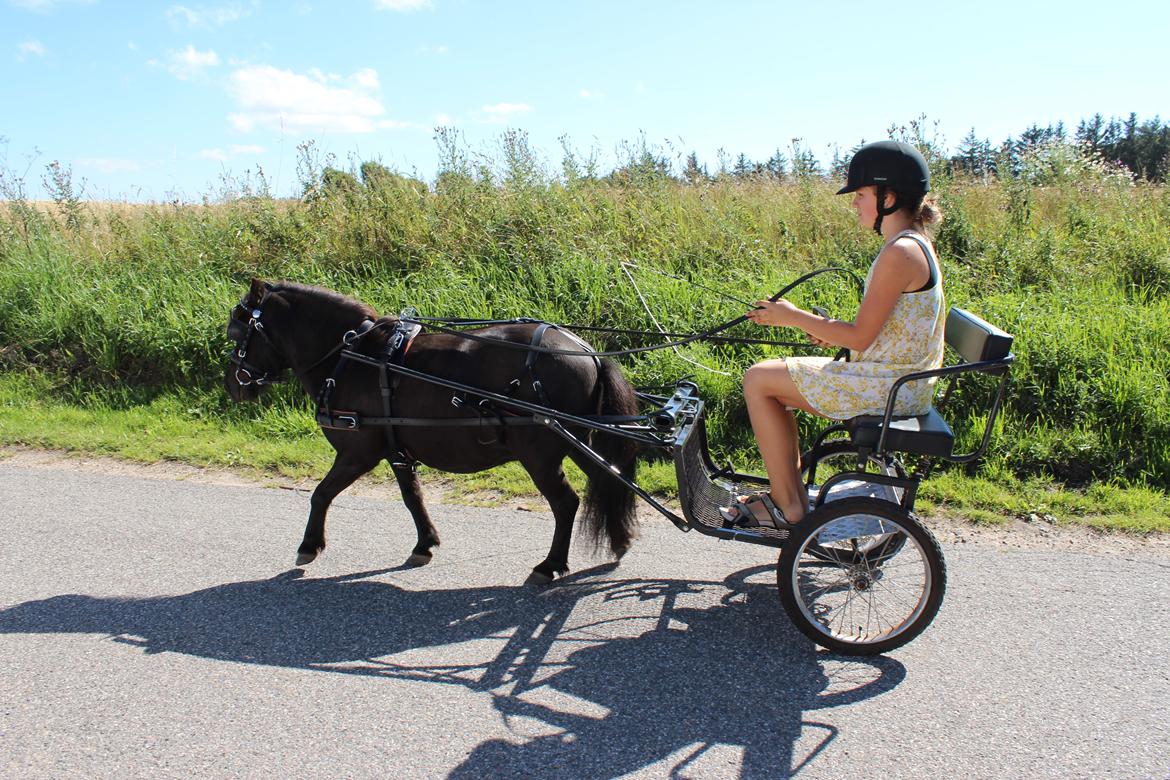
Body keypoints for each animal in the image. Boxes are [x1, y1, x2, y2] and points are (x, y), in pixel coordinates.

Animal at [222, 277, 636, 582]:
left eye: (235, 334)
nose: (233, 386)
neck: (349, 355)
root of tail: (586, 350)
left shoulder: (358, 452)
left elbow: (321, 493)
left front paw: (309, 545)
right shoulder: (396, 451)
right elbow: (412, 497)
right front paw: (425, 544)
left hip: (540, 454)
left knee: (565, 503)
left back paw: (549, 565)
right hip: (576, 441)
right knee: (607, 478)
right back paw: (619, 541)